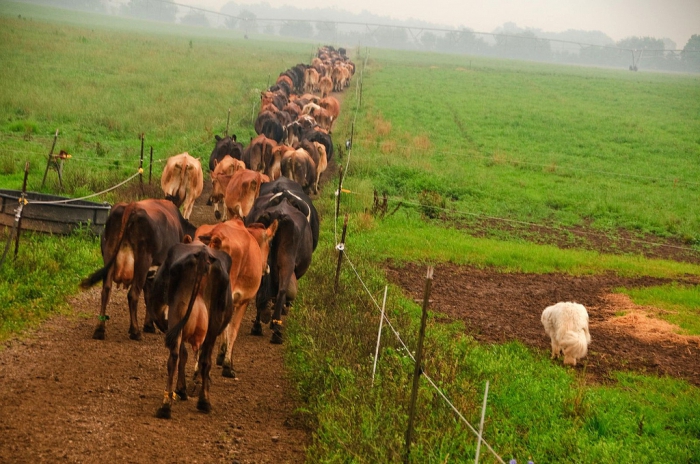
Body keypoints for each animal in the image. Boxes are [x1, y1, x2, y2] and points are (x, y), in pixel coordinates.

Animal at [80, 199, 198, 340]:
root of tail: (130, 207)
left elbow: (148, 295)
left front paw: (149, 325)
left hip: (109, 253)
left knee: (106, 291)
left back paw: (100, 330)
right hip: (143, 260)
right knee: (133, 294)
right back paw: (135, 331)